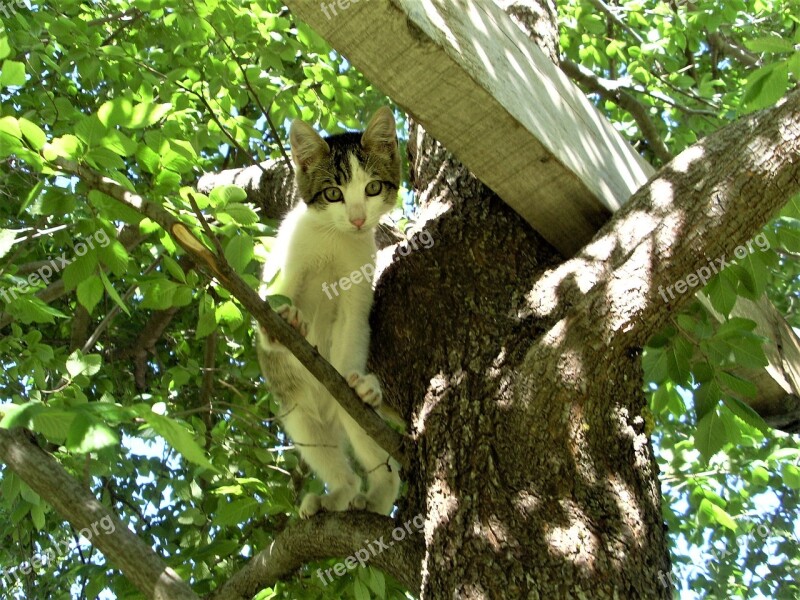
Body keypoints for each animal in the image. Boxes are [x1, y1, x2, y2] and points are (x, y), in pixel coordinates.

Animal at [260, 105, 404, 516]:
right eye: (333, 193)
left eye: (372, 188)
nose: (357, 219)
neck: (336, 239)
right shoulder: (284, 264)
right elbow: (272, 299)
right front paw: (283, 323)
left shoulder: (356, 294)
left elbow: (353, 326)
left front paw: (361, 383)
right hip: (298, 414)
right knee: (326, 452)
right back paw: (336, 494)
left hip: (354, 419)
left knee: (380, 460)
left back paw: (375, 497)